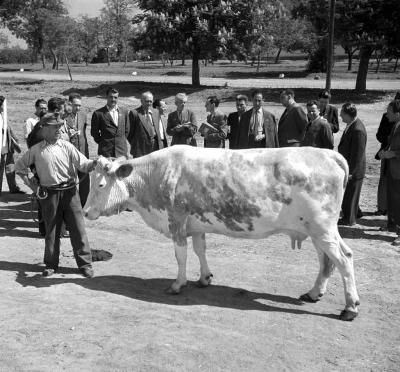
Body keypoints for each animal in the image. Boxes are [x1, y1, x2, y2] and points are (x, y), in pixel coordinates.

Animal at [83, 145, 360, 320]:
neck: (156, 174)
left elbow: (181, 255)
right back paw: (314, 293)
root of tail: (329, 153)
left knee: (344, 258)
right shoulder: (196, 224)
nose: (85, 212)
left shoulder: (176, 220)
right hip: (316, 230)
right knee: (326, 261)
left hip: (323, 228)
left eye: (100, 184)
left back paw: (350, 307)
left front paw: (178, 284)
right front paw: (205, 278)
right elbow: (200, 250)